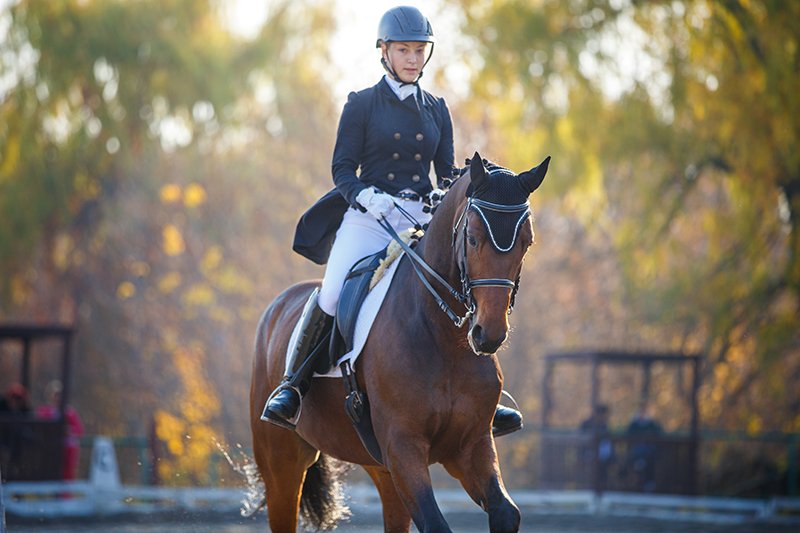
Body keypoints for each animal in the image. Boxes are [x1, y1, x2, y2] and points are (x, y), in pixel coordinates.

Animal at [250, 152, 549, 532]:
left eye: (527, 241)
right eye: (472, 237)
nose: (489, 333)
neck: (446, 340)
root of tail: (279, 304)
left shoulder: (470, 446)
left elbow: (506, 512)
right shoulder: (403, 446)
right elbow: (436, 524)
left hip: (379, 468)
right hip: (281, 461)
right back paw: (284, 399)